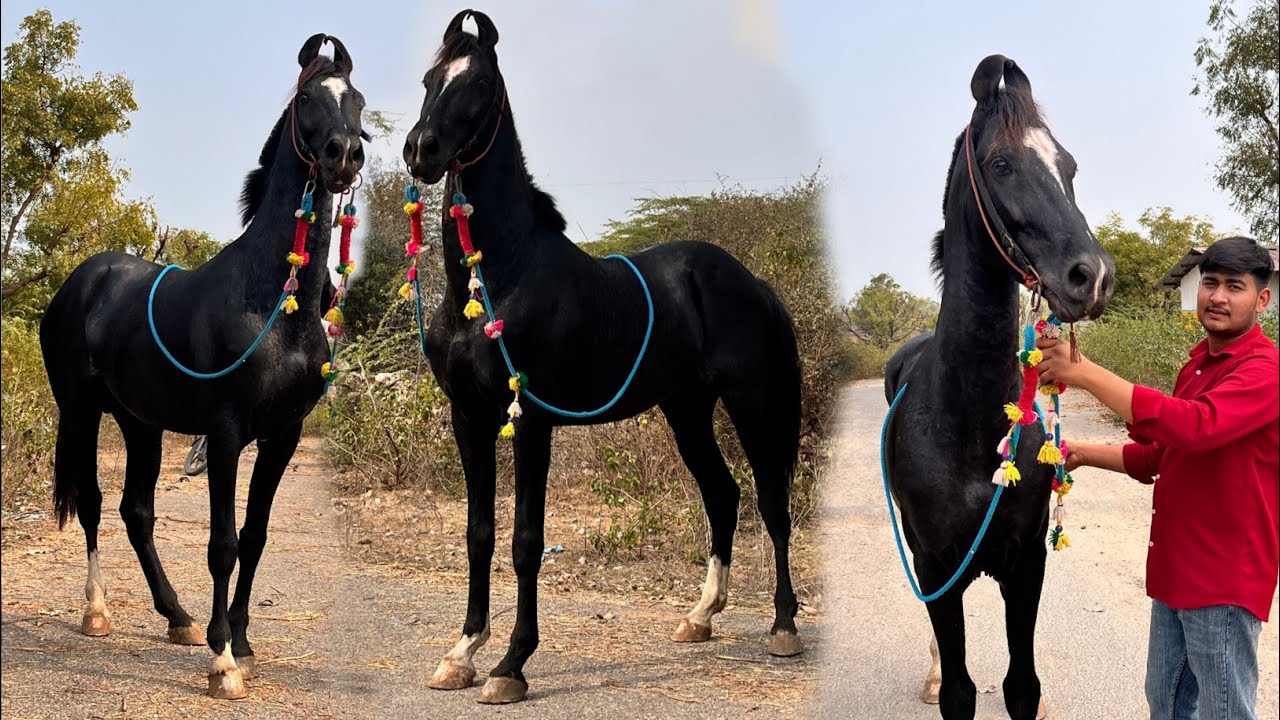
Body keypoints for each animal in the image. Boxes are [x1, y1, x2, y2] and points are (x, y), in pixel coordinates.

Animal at [39, 34, 369, 700]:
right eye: (307, 99)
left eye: (359, 100)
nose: (344, 154)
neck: (272, 304)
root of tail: (79, 284)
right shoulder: (225, 432)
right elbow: (222, 543)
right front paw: (222, 664)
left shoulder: (282, 435)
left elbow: (255, 536)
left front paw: (239, 642)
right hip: (82, 413)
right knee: (92, 503)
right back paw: (97, 612)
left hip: (140, 424)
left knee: (136, 512)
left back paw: (179, 618)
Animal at [400, 9, 804, 705]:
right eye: (430, 80)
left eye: (478, 84)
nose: (420, 149)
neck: (500, 277)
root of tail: (751, 281)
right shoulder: (469, 418)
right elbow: (478, 534)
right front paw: (462, 653)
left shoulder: (530, 421)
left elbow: (526, 541)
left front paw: (511, 665)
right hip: (686, 408)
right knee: (723, 494)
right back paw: (700, 616)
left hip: (750, 403)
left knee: (771, 503)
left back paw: (783, 627)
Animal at [882, 55, 1114, 720]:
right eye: (1002, 164)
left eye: (1069, 166)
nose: (1091, 276)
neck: (972, 428)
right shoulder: (938, 566)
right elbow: (959, 692)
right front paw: (943, 677)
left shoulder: (1026, 564)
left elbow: (1022, 688)